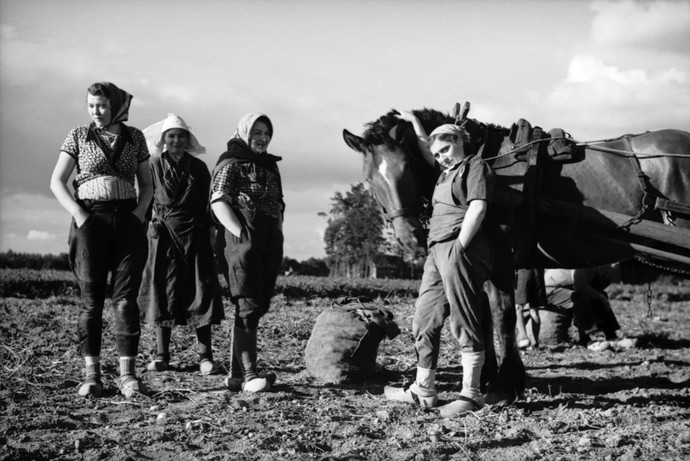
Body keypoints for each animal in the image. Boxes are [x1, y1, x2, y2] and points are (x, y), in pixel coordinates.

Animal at [342, 105, 688, 402]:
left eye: (406, 169)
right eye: (371, 178)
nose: (411, 237)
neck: (487, 160)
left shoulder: (502, 256)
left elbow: (501, 314)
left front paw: (505, 383)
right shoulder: (479, 259)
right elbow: (480, 314)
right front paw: (486, 376)